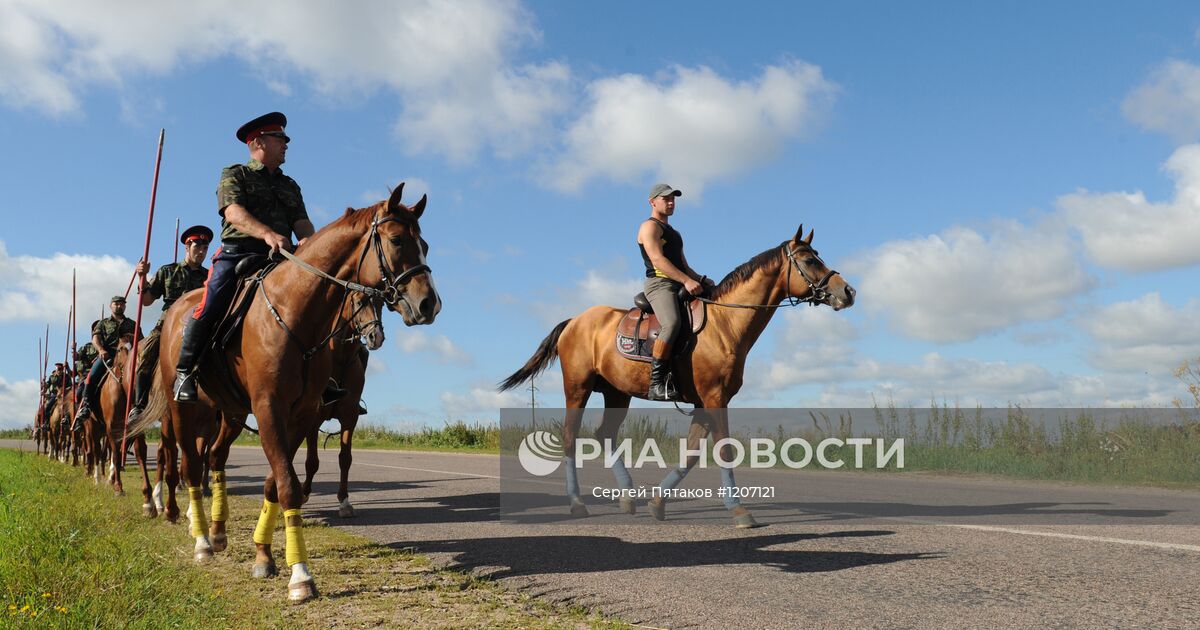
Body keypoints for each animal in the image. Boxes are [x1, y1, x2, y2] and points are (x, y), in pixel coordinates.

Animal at [132, 184, 441, 602]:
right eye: (396, 240)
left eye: (424, 243)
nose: (429, 304)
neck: (296, 311)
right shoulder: (269, 409)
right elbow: (290, 487)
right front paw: (301, 575)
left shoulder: (302, 413)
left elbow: (276, 482)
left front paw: (264, 556)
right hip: (183, 412)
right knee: (189, 468)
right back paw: (201, 540)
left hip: (230, 413)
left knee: (214, 459)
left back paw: (218, 531)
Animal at [496, 224, 854, 525]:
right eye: (809, 259)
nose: (848, 291)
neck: (724, 324)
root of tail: (575, 321)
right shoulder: (714, 398)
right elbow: (724, 450)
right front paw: (739, 510)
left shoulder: (703, 402)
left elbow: (692, 454)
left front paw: (657, 503)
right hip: (577, 389)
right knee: (571, 439)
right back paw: (577, 503)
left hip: (616, 393)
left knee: (605, 435)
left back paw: (628, 498)